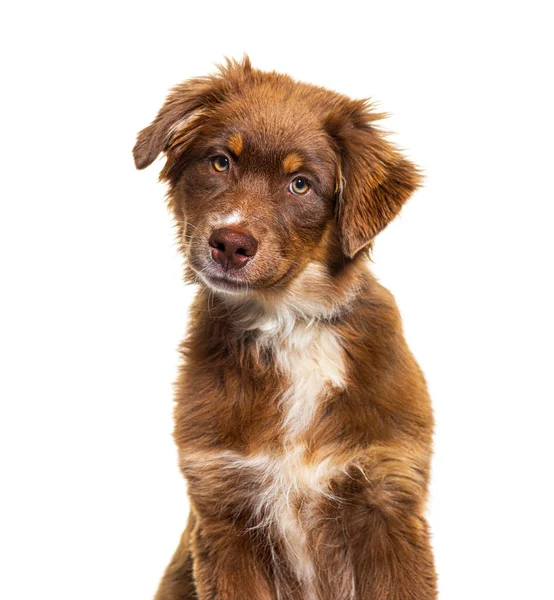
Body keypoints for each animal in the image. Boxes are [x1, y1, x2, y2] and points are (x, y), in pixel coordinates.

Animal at [134, 57, 436, 600]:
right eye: (220, 162)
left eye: (301, 184)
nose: (230, 244)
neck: (287, 322)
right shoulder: (224, 507)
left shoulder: (388, 496)